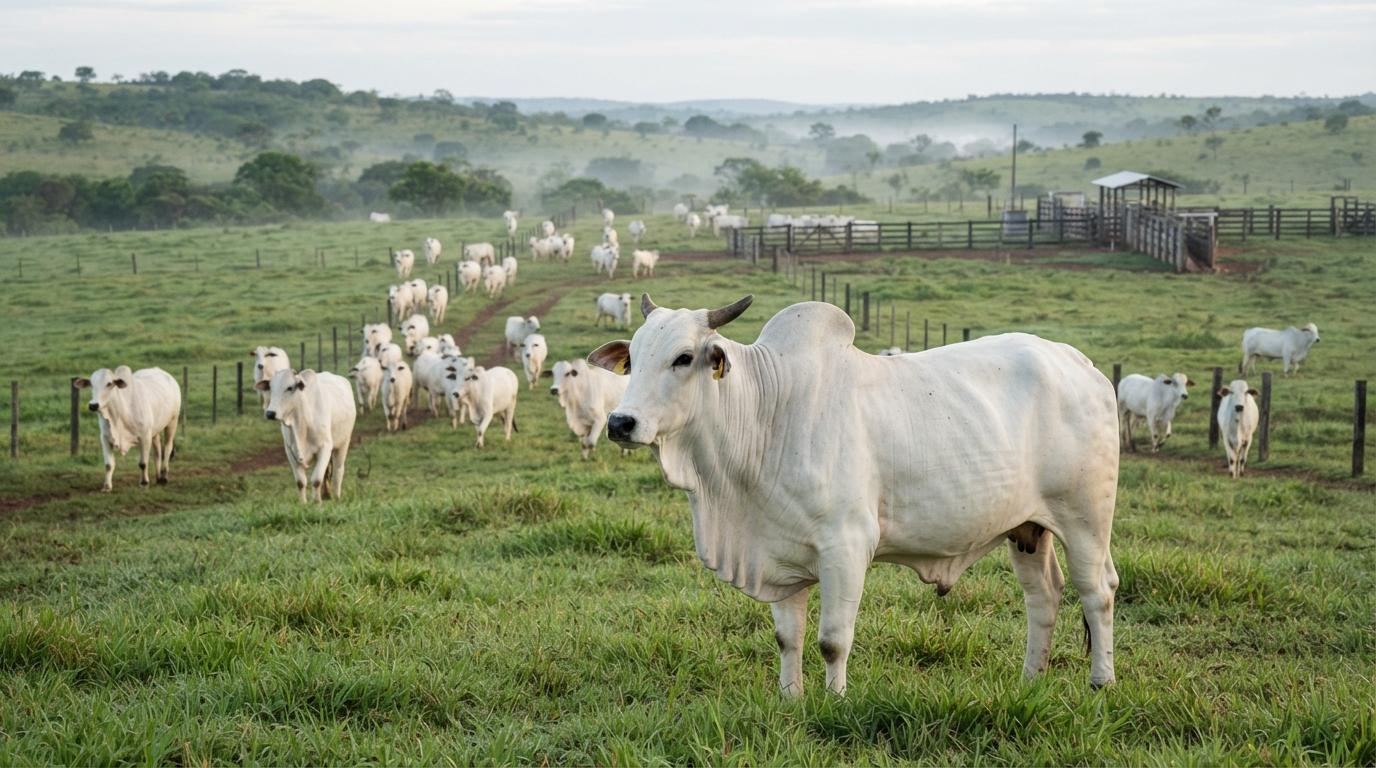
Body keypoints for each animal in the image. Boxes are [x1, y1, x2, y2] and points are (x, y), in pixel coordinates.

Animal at [256, 368, 356, 504]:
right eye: (271, 387)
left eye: (290, 387)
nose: (270, 413)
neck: (301, 422)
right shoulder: (290, 450)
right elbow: (300, 482)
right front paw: (303, 503)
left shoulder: (325, 447)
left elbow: (316, 479)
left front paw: (317, 503)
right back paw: (327, 494)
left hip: (344, 442)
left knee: (338, 471)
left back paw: (336, 497)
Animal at [589, 295, 1120, 694]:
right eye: (633, 360)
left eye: (682, 357)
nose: (620, 423)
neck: (765, 414)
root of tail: (1081, 363)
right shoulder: (779, 553)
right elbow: (788, 638)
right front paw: (791, 698)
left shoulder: (845, 547)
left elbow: (832, 641)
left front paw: (835, 700)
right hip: (1027, 528)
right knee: (1044, 595)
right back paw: (1031, 681)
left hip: (1085, 520)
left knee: (1097, 592)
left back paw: (1101, 683)